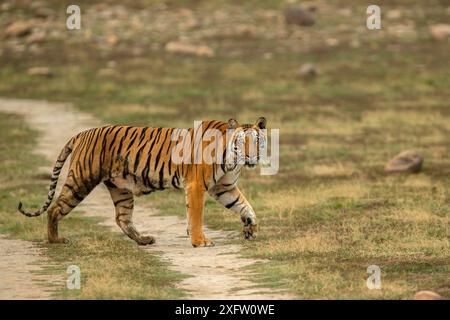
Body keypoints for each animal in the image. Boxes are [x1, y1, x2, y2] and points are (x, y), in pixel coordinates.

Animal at [19, 117, 268, 248]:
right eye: (241, 142)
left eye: (256, 142)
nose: (251, 156)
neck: (232, 160)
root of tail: (82, 134)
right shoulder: (197, 186)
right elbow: (196, 215)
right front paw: (199, 241)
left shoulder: (223, 187)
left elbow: (245, 206)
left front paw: (251, 229)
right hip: (81, 180)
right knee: (55, 208)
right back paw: (56, 240)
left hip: (121, 189)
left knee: (121, 218)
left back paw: (143, 240)